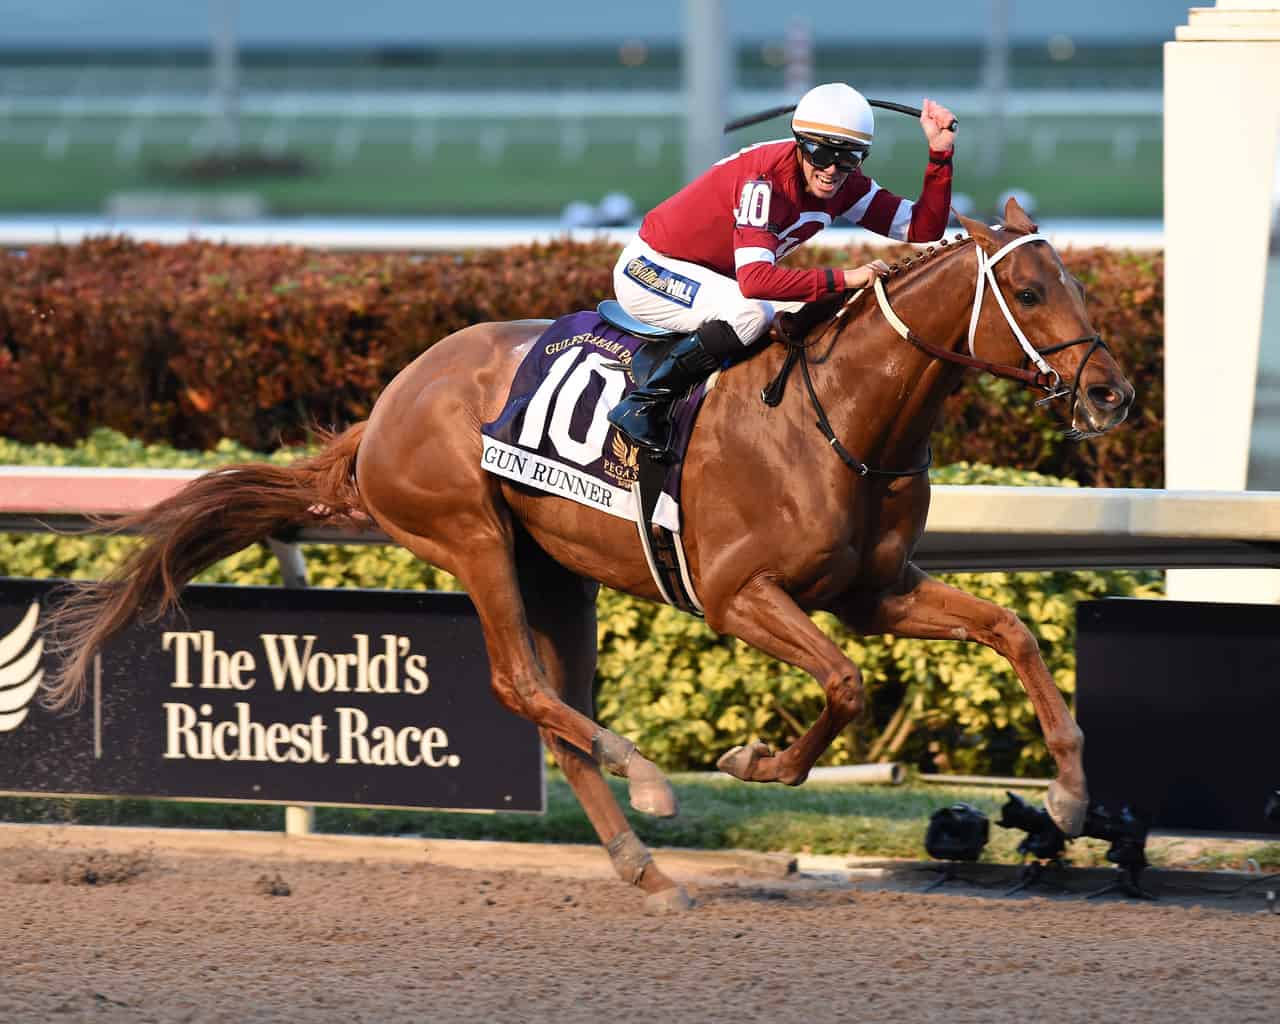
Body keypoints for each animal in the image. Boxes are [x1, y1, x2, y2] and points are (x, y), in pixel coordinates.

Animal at [45, 199, 1136, 911]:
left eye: (1077, 282)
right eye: (1029, 288)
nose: (1111, 394)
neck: (839, 416)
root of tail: (386, 403)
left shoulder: (874, 588)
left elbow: (1008, 631)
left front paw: (1070, 794)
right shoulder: (738, 593)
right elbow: (844, 685)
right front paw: (749, 758)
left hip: (554, 570)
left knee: (554, 715)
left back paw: (643, 866)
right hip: (471, 535)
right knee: (518, 686)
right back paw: (647, 779)